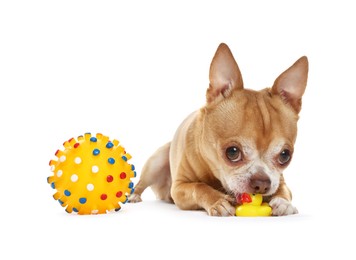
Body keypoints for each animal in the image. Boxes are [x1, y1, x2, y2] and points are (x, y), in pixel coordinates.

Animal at [129, 43, 308, 217]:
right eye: (233, 152)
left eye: (285, 156)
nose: (262, 183)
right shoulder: (179, 188)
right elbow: (199, 187)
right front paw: (218, 201)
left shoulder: (279, 181)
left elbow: (284, 190)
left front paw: (284, 203)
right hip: (156, 162)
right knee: (141, 183)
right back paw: (133, 195)